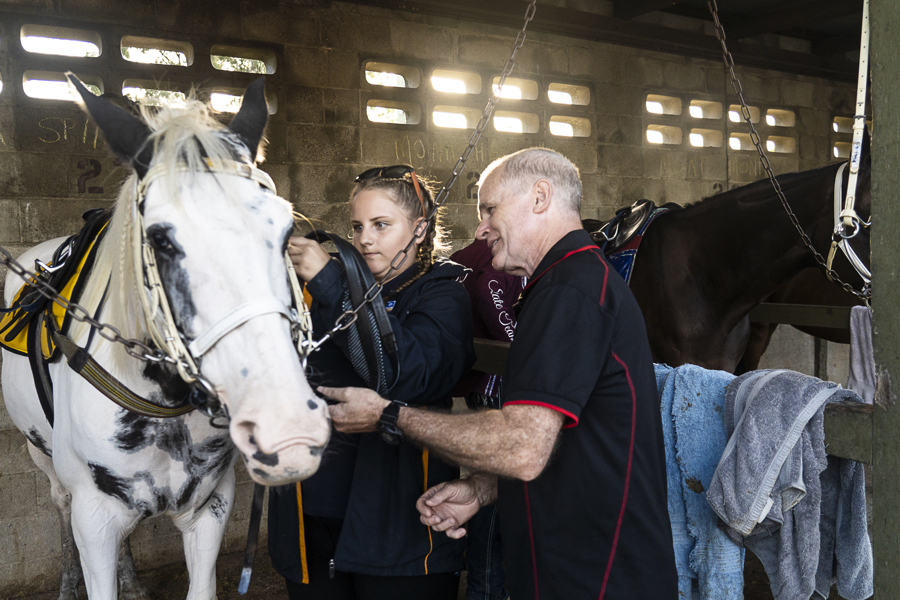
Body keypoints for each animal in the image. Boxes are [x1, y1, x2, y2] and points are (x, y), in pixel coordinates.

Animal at [1, 77, 331, 599]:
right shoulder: (93, 518)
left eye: (285, 233)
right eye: (159, 239)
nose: (287, 425)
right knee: (59, 504)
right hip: (42, 455)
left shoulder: (210, 508)